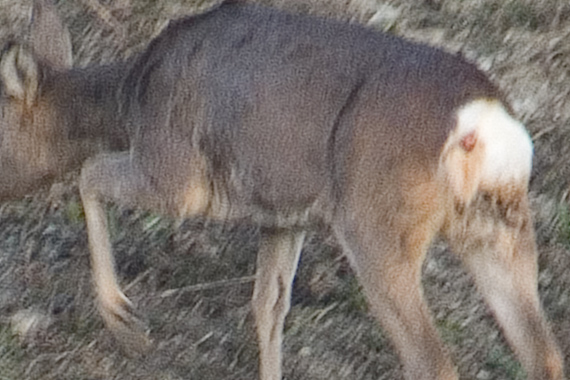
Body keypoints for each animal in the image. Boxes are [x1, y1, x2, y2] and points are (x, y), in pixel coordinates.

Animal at [0, 0, 560, 380]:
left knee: (434, 362)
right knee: (545, 353)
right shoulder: (284, 216)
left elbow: (89, 174)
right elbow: (267, 308)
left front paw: (123, 319)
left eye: (0, 125)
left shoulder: (179, 175)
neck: (128, 100)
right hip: (496, 226)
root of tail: (484, 125)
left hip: (378, 225)